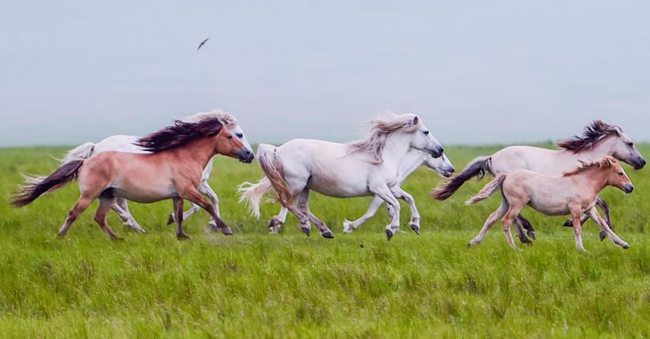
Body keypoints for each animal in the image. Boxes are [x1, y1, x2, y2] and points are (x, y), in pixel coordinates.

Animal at [11, 118, 253, 240]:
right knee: (75, 213)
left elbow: (179, 214)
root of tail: (87, 159)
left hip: (106, 196)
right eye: (232, 135)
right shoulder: (189, 190)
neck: (183, 156)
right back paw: (61, 236)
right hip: (91, 194)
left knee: (100, 218)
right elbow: (207, 206)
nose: (249, 155)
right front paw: (225, 229)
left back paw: (118, 237)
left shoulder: (178, 195)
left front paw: (181, 235)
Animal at [238, 113, 446, 240]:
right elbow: (395, 205)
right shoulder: (379, 188)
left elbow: (408, 199)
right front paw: (391, 229)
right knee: (287, 202)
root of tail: (278, 149)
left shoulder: (391, 187)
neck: (386, 156)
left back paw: (324, 230)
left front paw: (415, 225)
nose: (440, 150)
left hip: (306, 186)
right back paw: (296, 225)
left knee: (302, 206)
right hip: (296, 183)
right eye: (426, 132)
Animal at [464, 157, 632, 252]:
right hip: (517, 204)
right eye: (619, 173)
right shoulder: (575, 209)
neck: (584, 182)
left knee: (491, 218)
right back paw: (516, 248)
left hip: (506, 204)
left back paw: (473, 242)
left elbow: (604, 225)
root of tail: (507, 175)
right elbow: (577, 229)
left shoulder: (590, 209)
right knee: (506, 222)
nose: (630, 188)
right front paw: (582, 250)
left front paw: (623, 244)